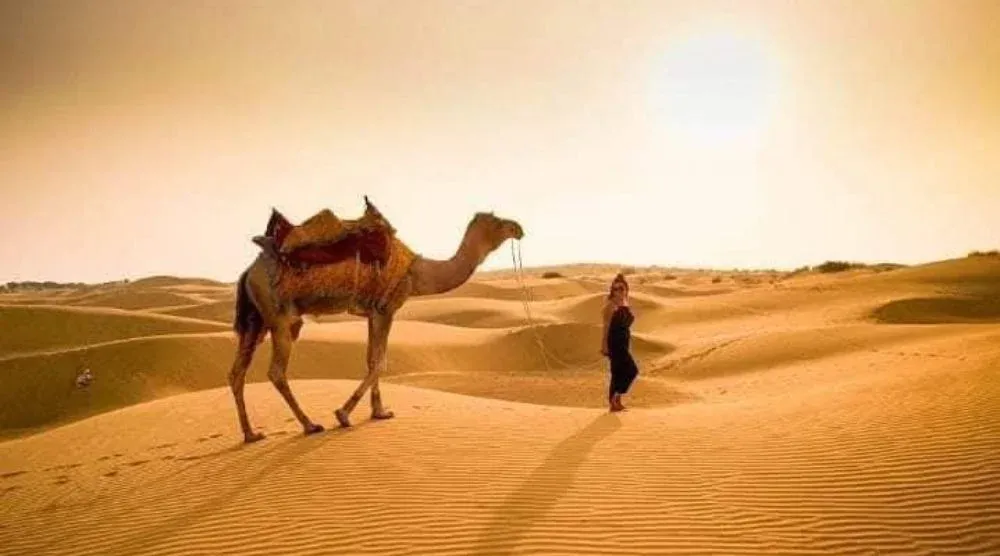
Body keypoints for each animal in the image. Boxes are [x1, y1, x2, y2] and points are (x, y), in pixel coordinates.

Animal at [227, 199, 524, 443]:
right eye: (498, 223)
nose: (519, 228)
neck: (417, 273)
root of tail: (247, 273)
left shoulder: (373, 312)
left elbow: (372, 359)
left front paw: (378, 412)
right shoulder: (387, 308)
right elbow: (381, 361)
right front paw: (344, 414)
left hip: (255, 320)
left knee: (237, 372)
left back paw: (251, 434)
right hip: (278, 316)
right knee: (276, 371)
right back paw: (310, 425)